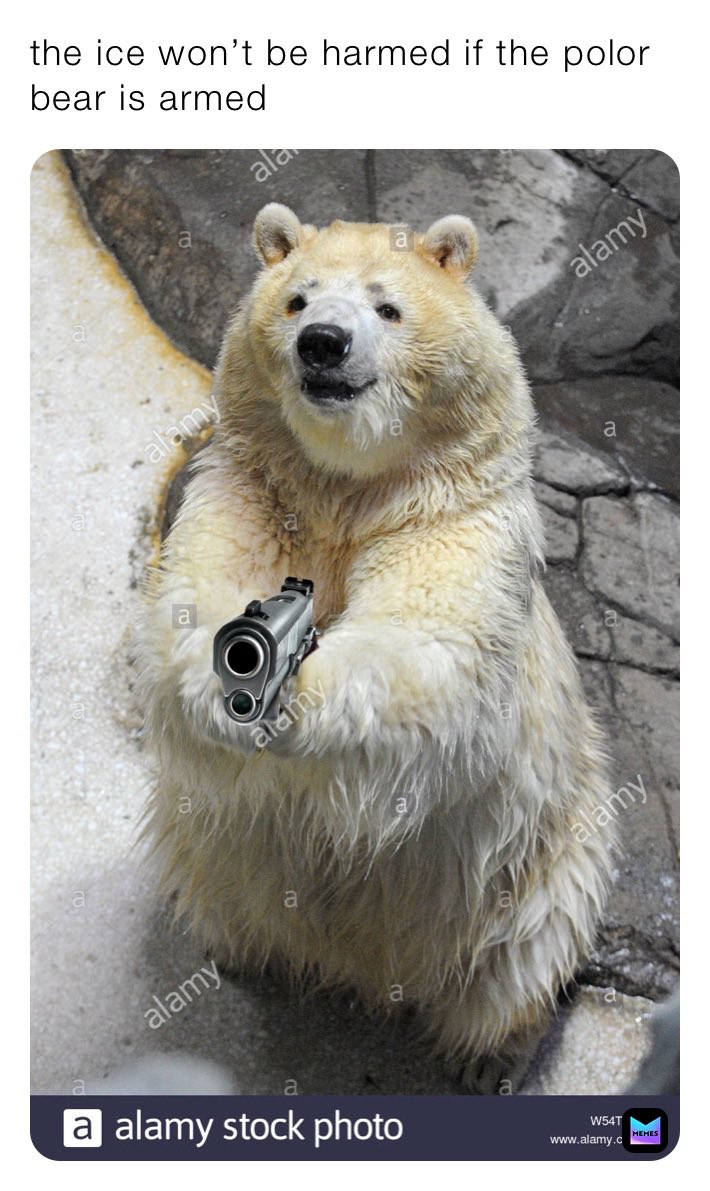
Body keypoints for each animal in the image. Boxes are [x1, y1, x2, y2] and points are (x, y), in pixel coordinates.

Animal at [136, 203, 615, 1091]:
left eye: (387, 306)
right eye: (296, 297)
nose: (322, 343)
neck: (347, 489)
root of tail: (372, 973)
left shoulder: (452, 516)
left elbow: (429, 650)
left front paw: (302, 701)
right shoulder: (253, 488)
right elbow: (188, 601)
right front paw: (221, 689)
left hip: (543, 859)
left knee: (524, 959)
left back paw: (491, 1057)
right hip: (217, 848)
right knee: (217, 872)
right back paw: (245, 954)